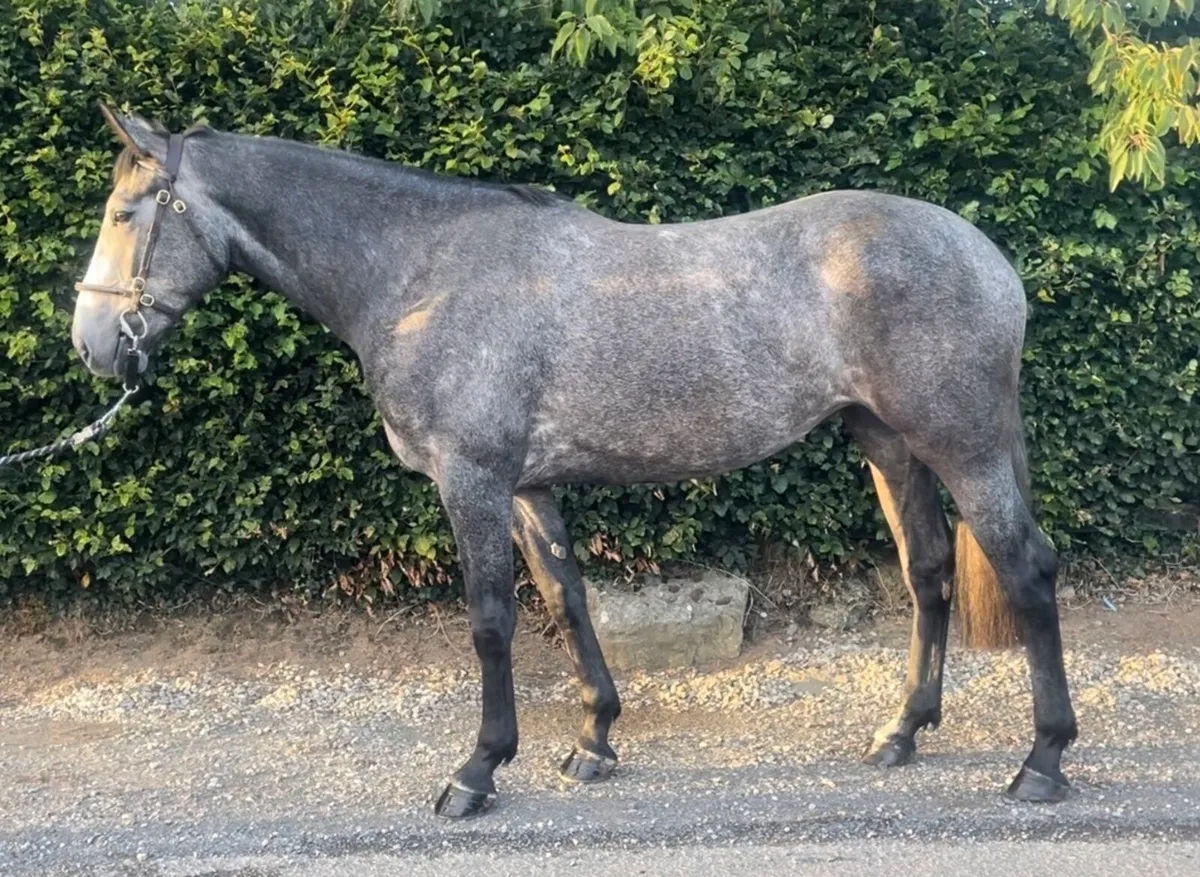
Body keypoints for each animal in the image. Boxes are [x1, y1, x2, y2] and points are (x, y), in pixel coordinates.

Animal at [70, 105, 1077, 819]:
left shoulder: (472, 481)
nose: (93, 347)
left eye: (125, 212)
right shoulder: (527, 487)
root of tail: (988, 257)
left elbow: (491, 621)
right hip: (886, 442)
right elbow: (565, 602)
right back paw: (903, 732)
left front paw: (477, 771)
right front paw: (594, 739)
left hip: (963, 447)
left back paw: (1043, 760)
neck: (421, 274)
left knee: (1026, 569)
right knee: (928, 570)